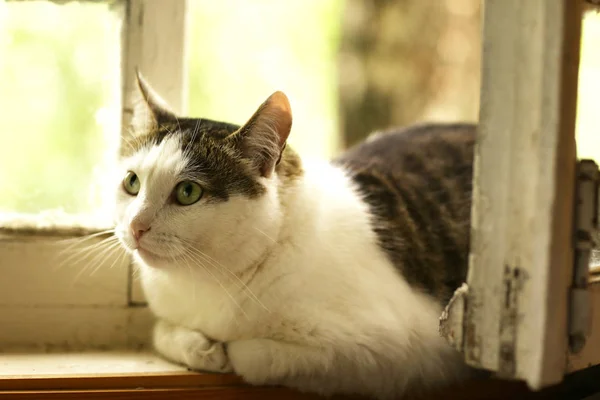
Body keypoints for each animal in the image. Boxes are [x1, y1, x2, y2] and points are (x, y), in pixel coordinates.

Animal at [115, 72, 476, 400]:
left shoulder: (399, 353)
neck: (207, 279)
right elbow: (162, 332)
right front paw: (201, 347)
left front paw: (225, 351)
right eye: (132, 182)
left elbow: (250, 355)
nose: (135, 226)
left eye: (188, 192)